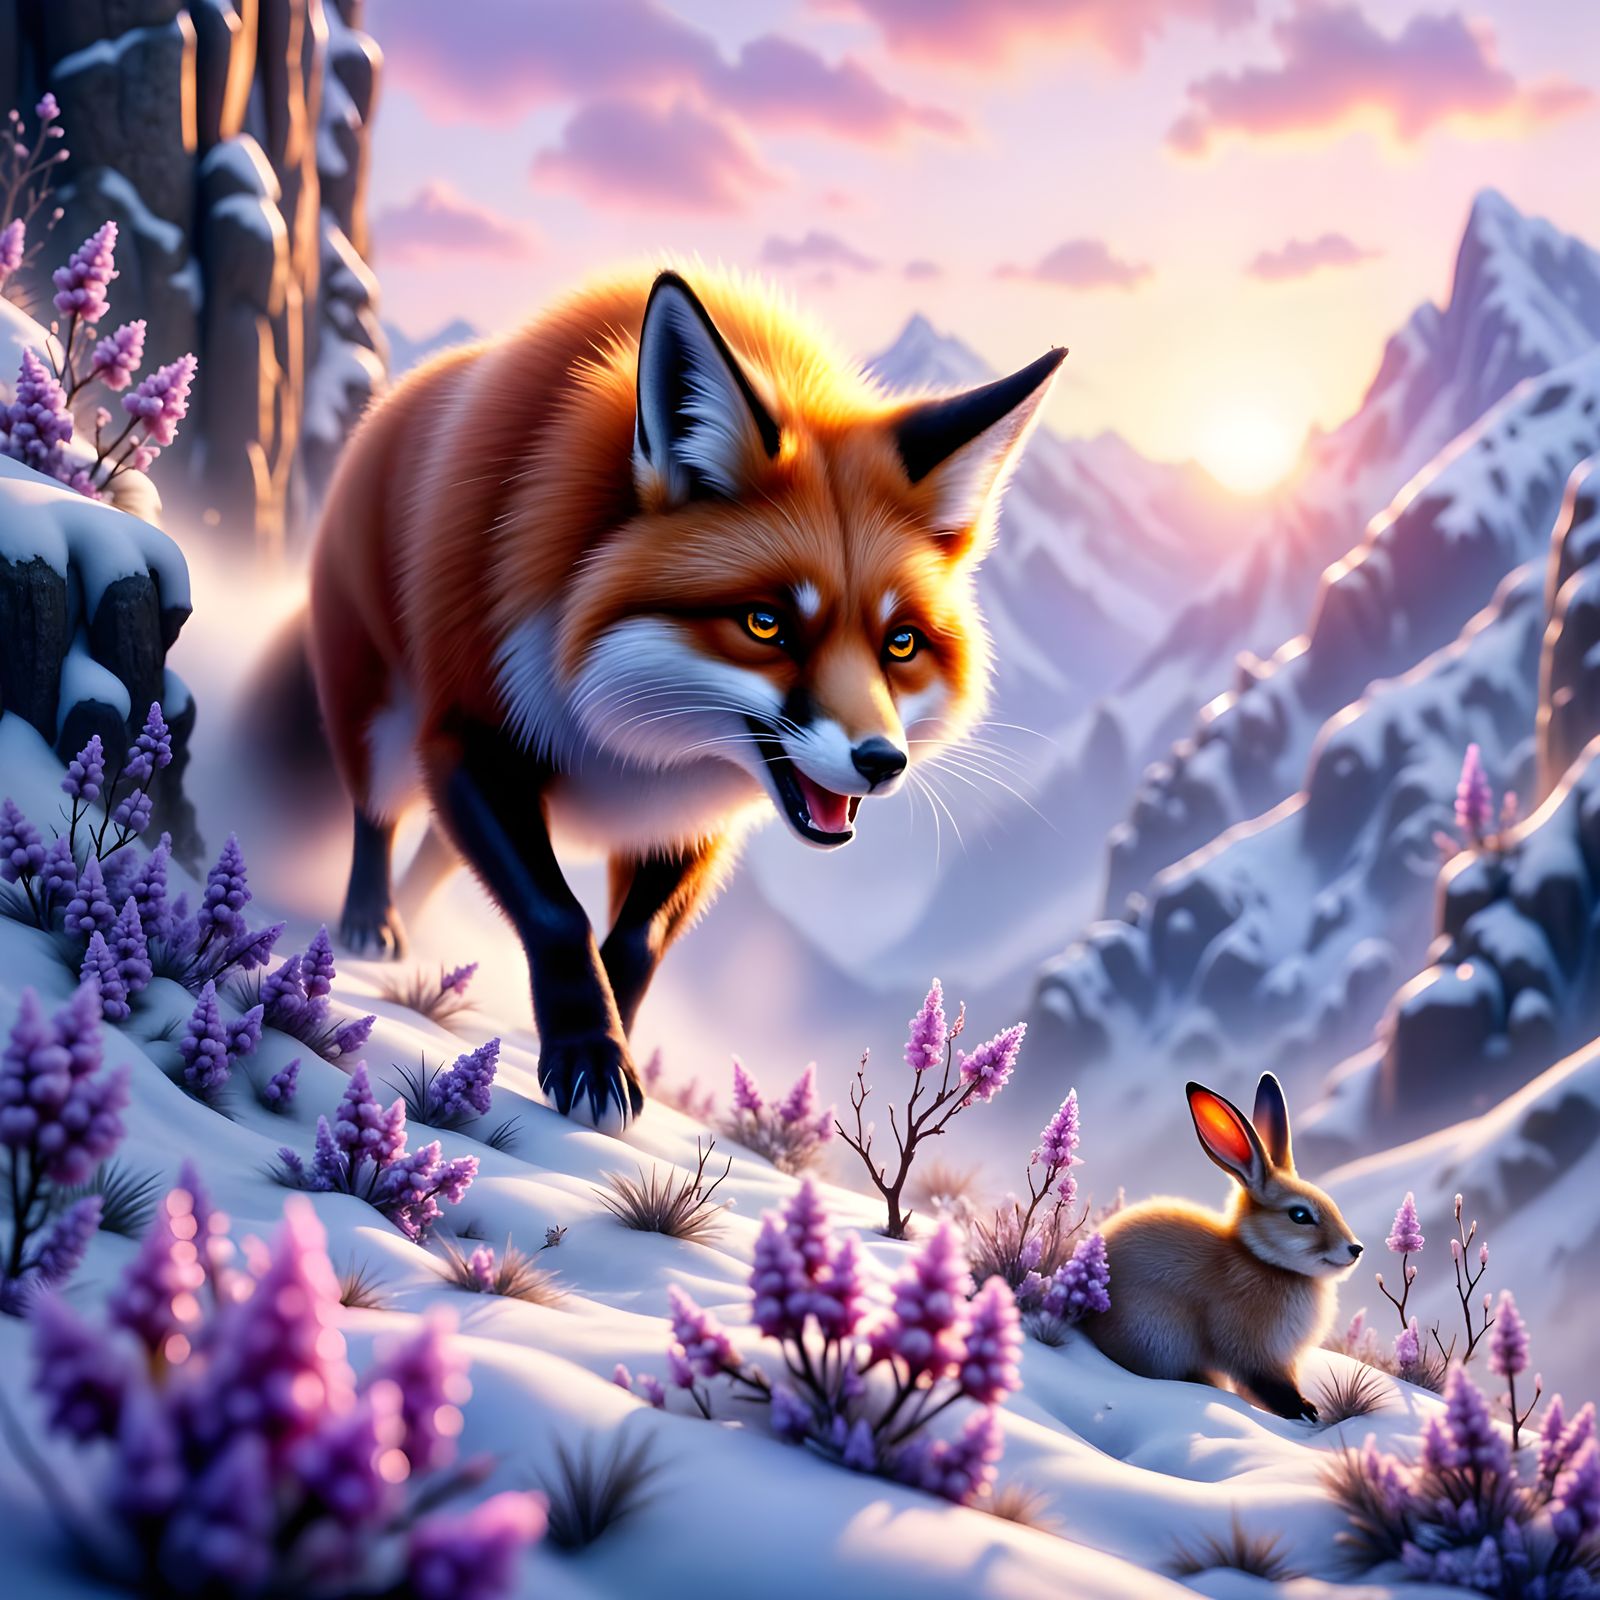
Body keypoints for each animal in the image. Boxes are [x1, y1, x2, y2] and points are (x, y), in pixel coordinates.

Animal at [306, 265, 1065, 1131]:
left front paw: (599, 1047)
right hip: (379, 720)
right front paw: (589, 1058)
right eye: (767, 624)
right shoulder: (470, 736)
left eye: (899, 643)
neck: (632, 742)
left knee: (435, 851)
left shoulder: (690, 819)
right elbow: (558, 915)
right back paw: (371, 923)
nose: (880, 762)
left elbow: (634, 947)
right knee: (378, 814)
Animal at [1083, 1073, 1363, 1420]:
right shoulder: (1251, 1350)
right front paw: (1306, 1412)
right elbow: (1266, 1386)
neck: (1263, 1261)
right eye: (1300, 1215)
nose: (1355, 1249)